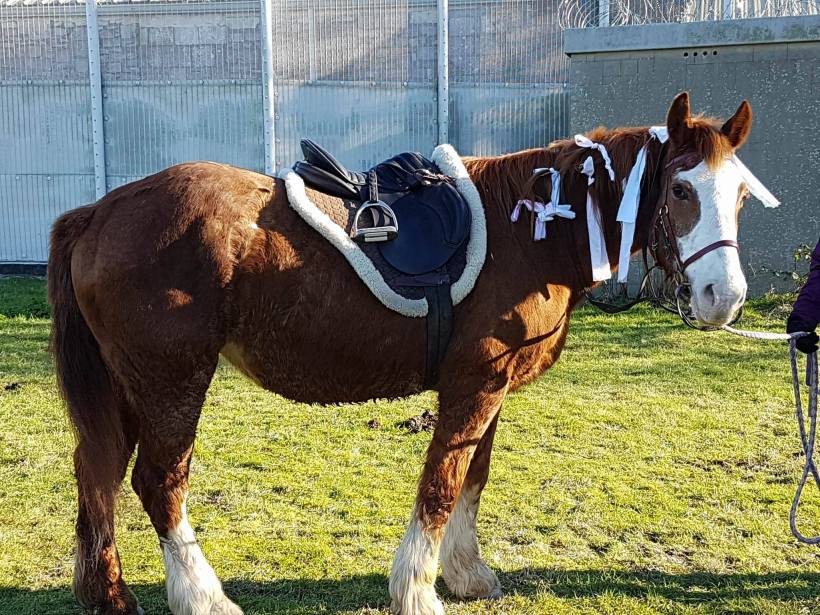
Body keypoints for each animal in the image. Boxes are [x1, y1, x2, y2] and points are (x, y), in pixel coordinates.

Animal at [48, 91, 753, 615]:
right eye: (682, 190)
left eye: (741, 194)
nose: (724, 297)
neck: (529, 230)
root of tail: (99, 210)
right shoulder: (473, 386)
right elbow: (442, 483)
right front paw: (418, 589)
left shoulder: (489, 387)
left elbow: (473, 477)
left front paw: (468, 576)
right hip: (172, 381)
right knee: (158, 482)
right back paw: (203, 597)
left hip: (127, 386)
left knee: (98, 471)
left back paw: (108, 594)